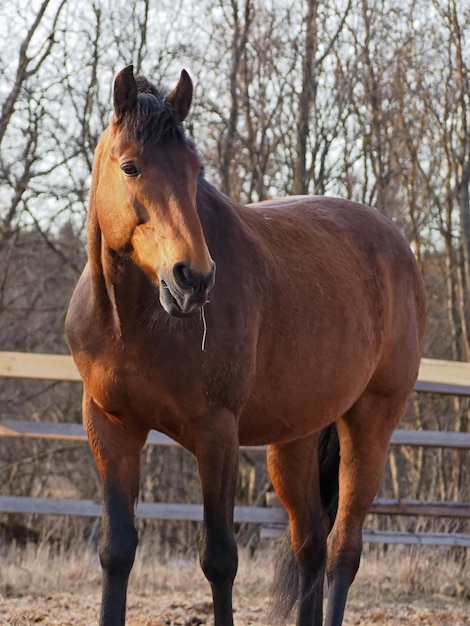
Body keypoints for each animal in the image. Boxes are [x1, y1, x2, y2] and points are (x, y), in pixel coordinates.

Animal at [64, 66, 428, 620]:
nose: (192, 278)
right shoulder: (110, 427)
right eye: (130, 166)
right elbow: (116, 551)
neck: (136, 321)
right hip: (295, 439)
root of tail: (399, 249)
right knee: (310, 544)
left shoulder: (217, 434)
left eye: (194, 169)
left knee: (343, 549)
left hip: (372, 421)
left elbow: (219, 560)